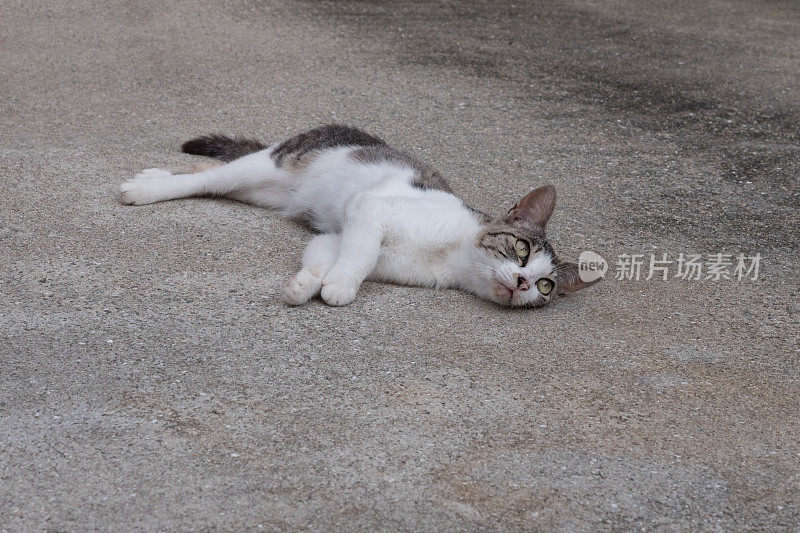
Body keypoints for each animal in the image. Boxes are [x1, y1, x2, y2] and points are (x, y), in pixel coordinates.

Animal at [117, 124, 600, 306]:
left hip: (267, 192)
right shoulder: (370, 208)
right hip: (270, 167)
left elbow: (328, 253)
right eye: (520, 250)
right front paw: (340, 286)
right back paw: (148, 186)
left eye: (546, 285)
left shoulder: (335, 235)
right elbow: (362, 251)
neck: (452, 256)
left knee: (213, 176)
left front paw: (309, 282)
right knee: (210, 177)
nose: (522, 282)